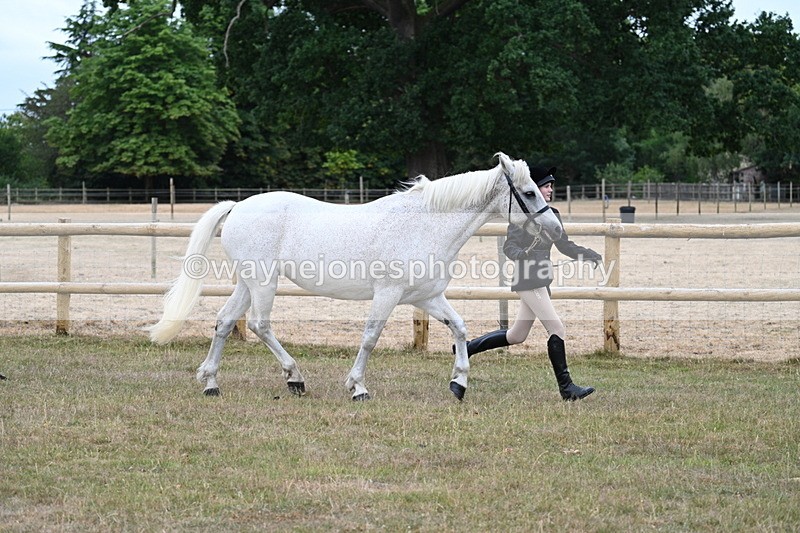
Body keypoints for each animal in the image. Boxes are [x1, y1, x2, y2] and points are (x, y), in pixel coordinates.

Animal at [149, 152, 562, 401]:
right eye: (528, 192)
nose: (556, 229)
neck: (422, 225)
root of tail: (238, 206)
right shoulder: (388, 294)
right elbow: (370, 338)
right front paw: (358, 387)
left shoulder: (425, 297)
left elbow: (459, 328)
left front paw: (458, 383)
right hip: (264, 283)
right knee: (259, 325)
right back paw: (295, 378)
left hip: (247, 283)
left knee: (224, 322)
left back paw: (212, 383)